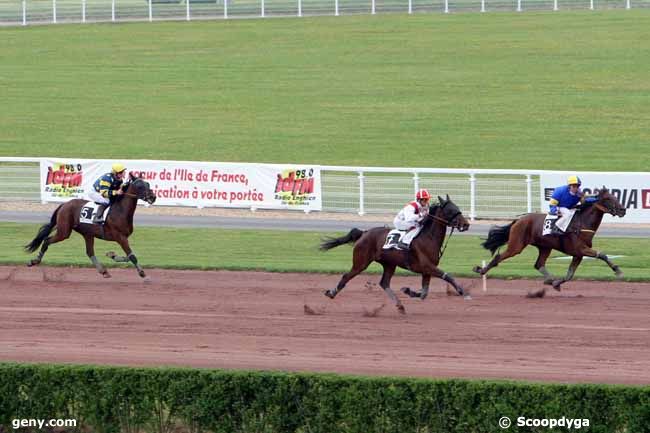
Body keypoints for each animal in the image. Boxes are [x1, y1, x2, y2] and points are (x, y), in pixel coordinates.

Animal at [25, 174, 158, 278]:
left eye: (148, 184)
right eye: (140, 186)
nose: (153, 197)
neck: (120, 210)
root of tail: (64, 204)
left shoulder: (124, 238)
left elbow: (129, 256)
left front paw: (112, 254)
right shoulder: (120, 237)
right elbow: (132, 256)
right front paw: (141, 272)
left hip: (87, 234)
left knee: (89, 252)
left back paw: (103, 271)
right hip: (64, 231)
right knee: (47, 240)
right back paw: (34, 261)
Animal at [320, 194, 468, 312]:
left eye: (457, 207)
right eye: (451, 210)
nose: (466, 224)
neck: (428, 237)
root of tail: (364, 233)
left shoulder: (427, 270)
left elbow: (424, 293)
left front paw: (408, 291)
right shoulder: (427, 266)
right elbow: (448, 276)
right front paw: (463, 292)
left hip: (389, 264)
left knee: (384, 283)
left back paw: (400, 305)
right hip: (361, 262)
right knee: (347, 276)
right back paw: (331, 293)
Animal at [470, 186, 624, 294]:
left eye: (615, 197)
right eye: (608, 199)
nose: (623, 210)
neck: (582, 224)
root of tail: (518, 220)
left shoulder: (578, 254)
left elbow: (569, 275)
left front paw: (557, 283)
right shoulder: (581, 249)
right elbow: (602, 255)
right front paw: (617, 270)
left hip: (545, 247)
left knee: (539, 264)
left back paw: (550, 279)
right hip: (516, 245)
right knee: (499, 257)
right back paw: (481, 270)